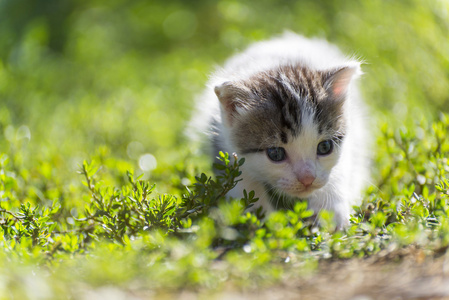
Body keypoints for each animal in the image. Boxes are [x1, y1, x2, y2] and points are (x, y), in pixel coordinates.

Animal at [192, 32, 368, 229]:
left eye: (325, 147)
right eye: (275, 154)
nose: (307, 179)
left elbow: (342, 166)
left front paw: (329, 210)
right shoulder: (221, 140)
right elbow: (238, 176)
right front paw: (255, 216)